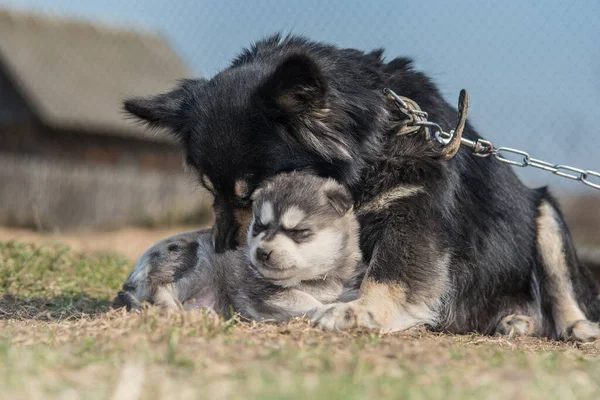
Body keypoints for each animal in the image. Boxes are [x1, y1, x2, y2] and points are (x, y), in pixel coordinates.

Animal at [112, 173, 366, 322]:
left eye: (298, 231)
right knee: (160, 288)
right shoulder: (262, 292)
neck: (314, 279)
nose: (262, 252)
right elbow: (302, 299)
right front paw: (326, 310)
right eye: (259, 226)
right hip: (194, 260)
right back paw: (172, 309)